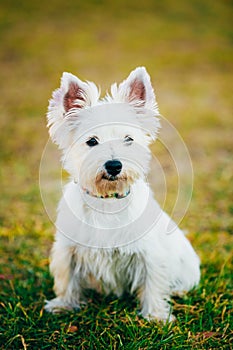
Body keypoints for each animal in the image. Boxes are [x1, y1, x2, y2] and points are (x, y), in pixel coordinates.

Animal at [44, 67, 200, 322]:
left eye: (128, 139)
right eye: (91, 141)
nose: (114, 165)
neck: (107, 200)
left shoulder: (149, 253)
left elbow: (153, 283)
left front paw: (156, 315)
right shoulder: (68, 249)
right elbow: (66, 278)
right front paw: (64, 305)